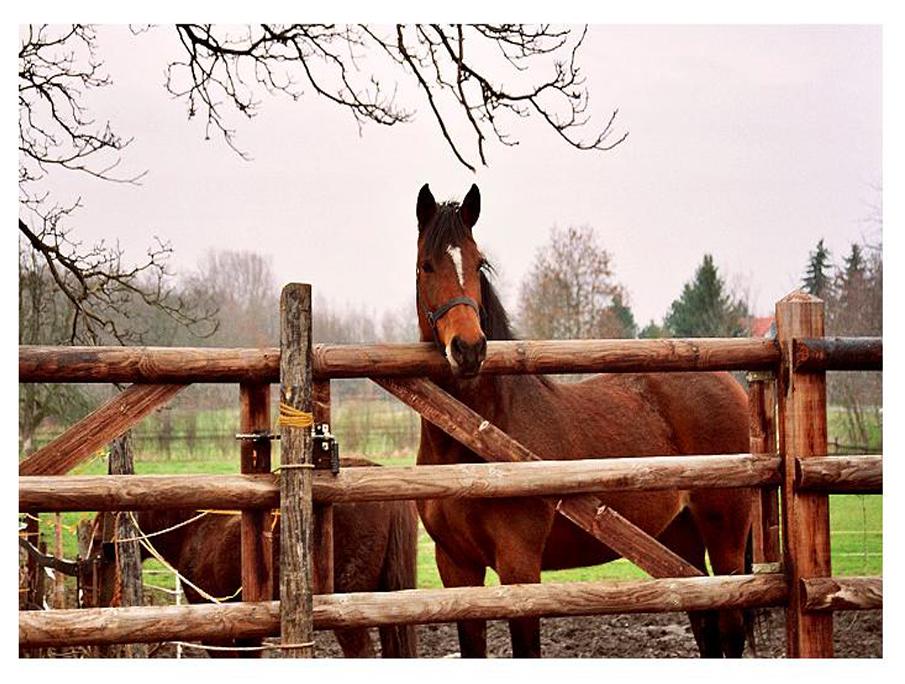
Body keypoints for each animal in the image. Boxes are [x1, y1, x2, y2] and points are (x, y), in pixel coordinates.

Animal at [414, 183, 752, 656]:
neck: (474, 436)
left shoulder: (520, 566)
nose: (468, 348)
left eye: (478, 263)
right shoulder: (455, 567)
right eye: (426, 265)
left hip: (726, 535)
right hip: (677, 537)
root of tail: (731, 384)